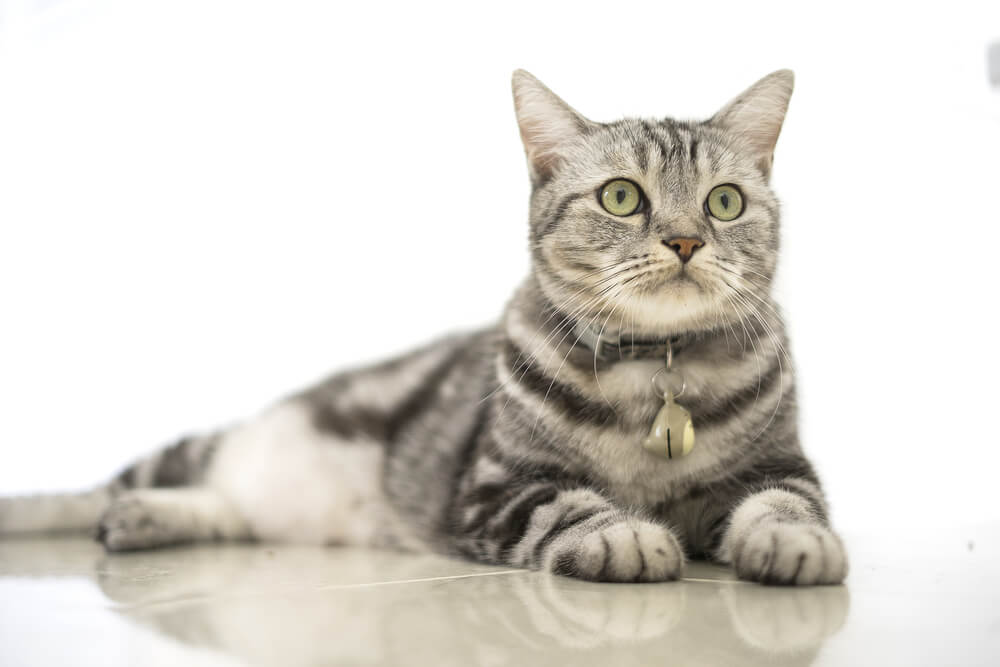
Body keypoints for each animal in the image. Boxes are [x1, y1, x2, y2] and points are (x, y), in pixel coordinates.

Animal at [0, 70, 848, 588]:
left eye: (724, 203)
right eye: (620, 196)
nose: (684, 240)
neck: (655, 374)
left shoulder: (779, 466)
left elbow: (784, 505)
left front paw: (793, 543)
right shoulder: (499, 486)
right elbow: (571, 505)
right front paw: (626, 534)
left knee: (228, 507)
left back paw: (147, 519)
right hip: (226, 443)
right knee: (124, 483)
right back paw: (109, 513)